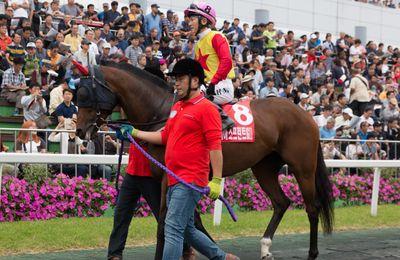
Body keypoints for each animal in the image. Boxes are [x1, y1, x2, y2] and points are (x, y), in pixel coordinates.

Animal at [76, 63, 334, 260]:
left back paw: (312, 253)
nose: (79, 131)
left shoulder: (171, 176)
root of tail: (306, 114)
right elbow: (182, 221)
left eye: (87, 95)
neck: (163, 113)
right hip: (263, 167)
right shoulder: (169, 178)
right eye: (78, 94)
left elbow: (165, 223)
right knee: (281, 202)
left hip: (303, 167)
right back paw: (265, 247)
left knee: (312, 207)